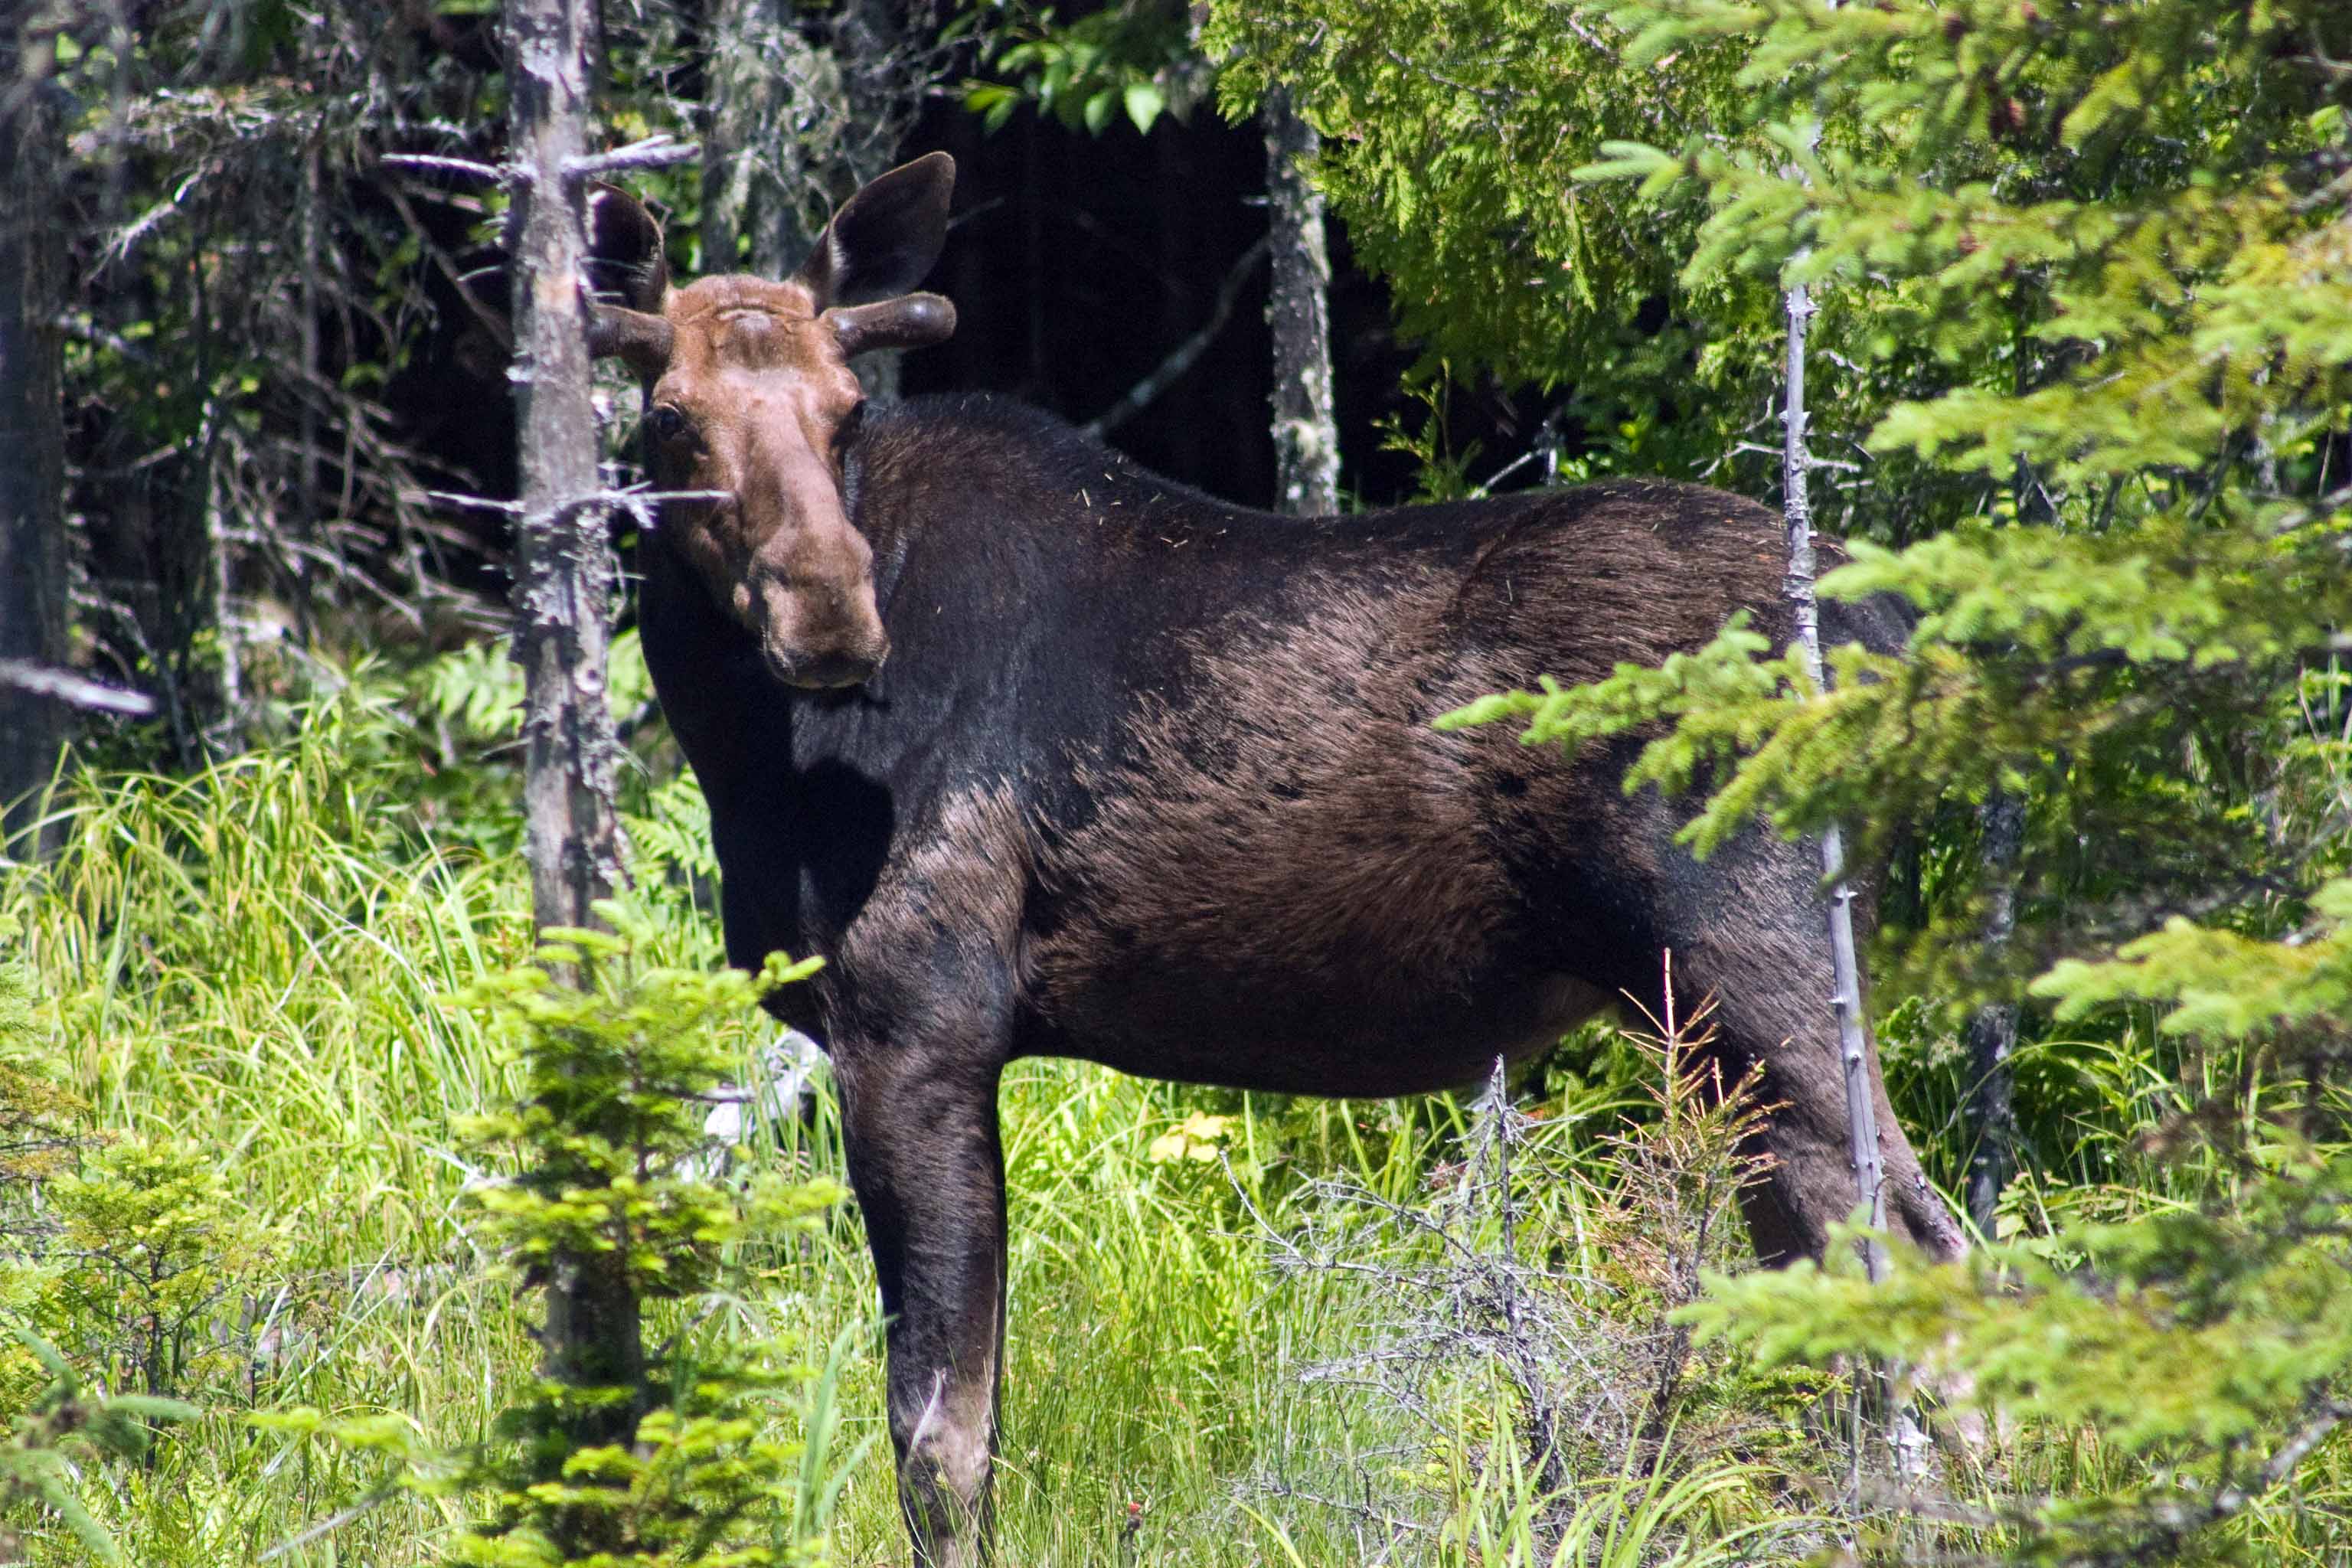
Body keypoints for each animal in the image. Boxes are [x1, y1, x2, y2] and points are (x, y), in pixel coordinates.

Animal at [573, 150, 1966, 1568]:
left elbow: (937, 1445)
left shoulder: (918, 1019)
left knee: (1931, 1271)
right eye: (672, 418)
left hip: (1750, 969)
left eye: (849, 411)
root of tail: (1896, 624)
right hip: (1714, 1017)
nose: (831, 612)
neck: (750, 755)